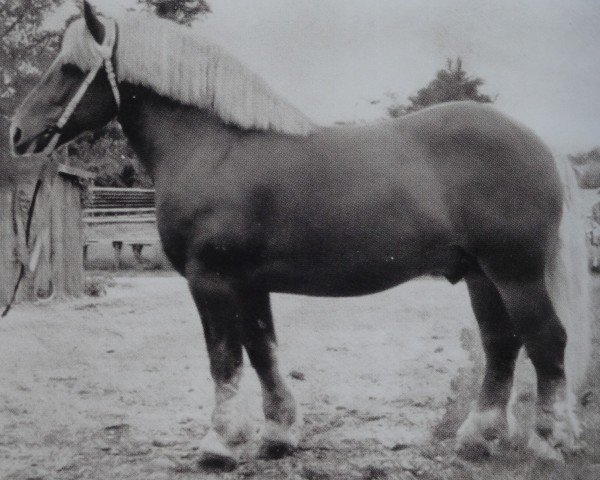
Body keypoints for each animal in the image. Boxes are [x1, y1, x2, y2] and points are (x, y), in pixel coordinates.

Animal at [8, 1, 592, 468]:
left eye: (71, 68)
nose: (17, 132)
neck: (215, 147)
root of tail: (539, 143)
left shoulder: (210, 279)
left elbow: (224, 358)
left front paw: (219, 444)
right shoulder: (248, 282)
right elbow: (263, 351)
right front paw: (278, 436)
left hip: (514, 272)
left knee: (547, 340)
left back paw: (550, 441)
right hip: (479, 275)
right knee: (501, 345)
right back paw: (476, 439)